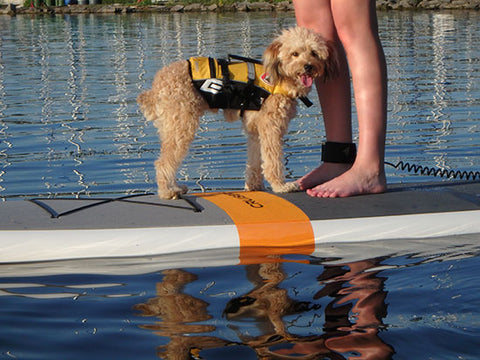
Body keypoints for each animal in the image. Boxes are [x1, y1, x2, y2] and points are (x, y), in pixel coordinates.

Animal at [137, 27, 336, 200]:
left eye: (314, 53)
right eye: (294, 54)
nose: (308, 66)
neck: (280, 77)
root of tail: (157, 86)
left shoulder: (255, 129)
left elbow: (255, 161)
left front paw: (255, 186)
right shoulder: (271, 128)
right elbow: (273, 160)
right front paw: (280, 186)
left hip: (171, 127)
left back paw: (175, 187)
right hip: (182, 126)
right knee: (164, 162)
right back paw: (168, 192)